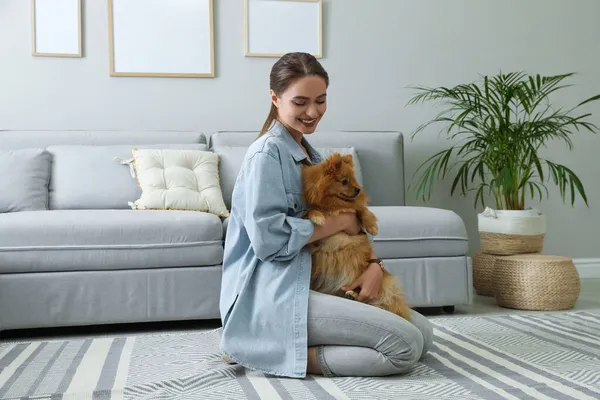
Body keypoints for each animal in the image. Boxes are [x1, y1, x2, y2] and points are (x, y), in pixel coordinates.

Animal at [300, 152, 412, 320]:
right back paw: (351, 295)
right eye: (345, 181)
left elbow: (361, 209)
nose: (358, 190)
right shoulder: (315, 241)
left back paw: (353, 294)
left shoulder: (354, 208)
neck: (334, 203)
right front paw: (318, 217)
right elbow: (310, 211)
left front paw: (372, 226)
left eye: (354, 180)